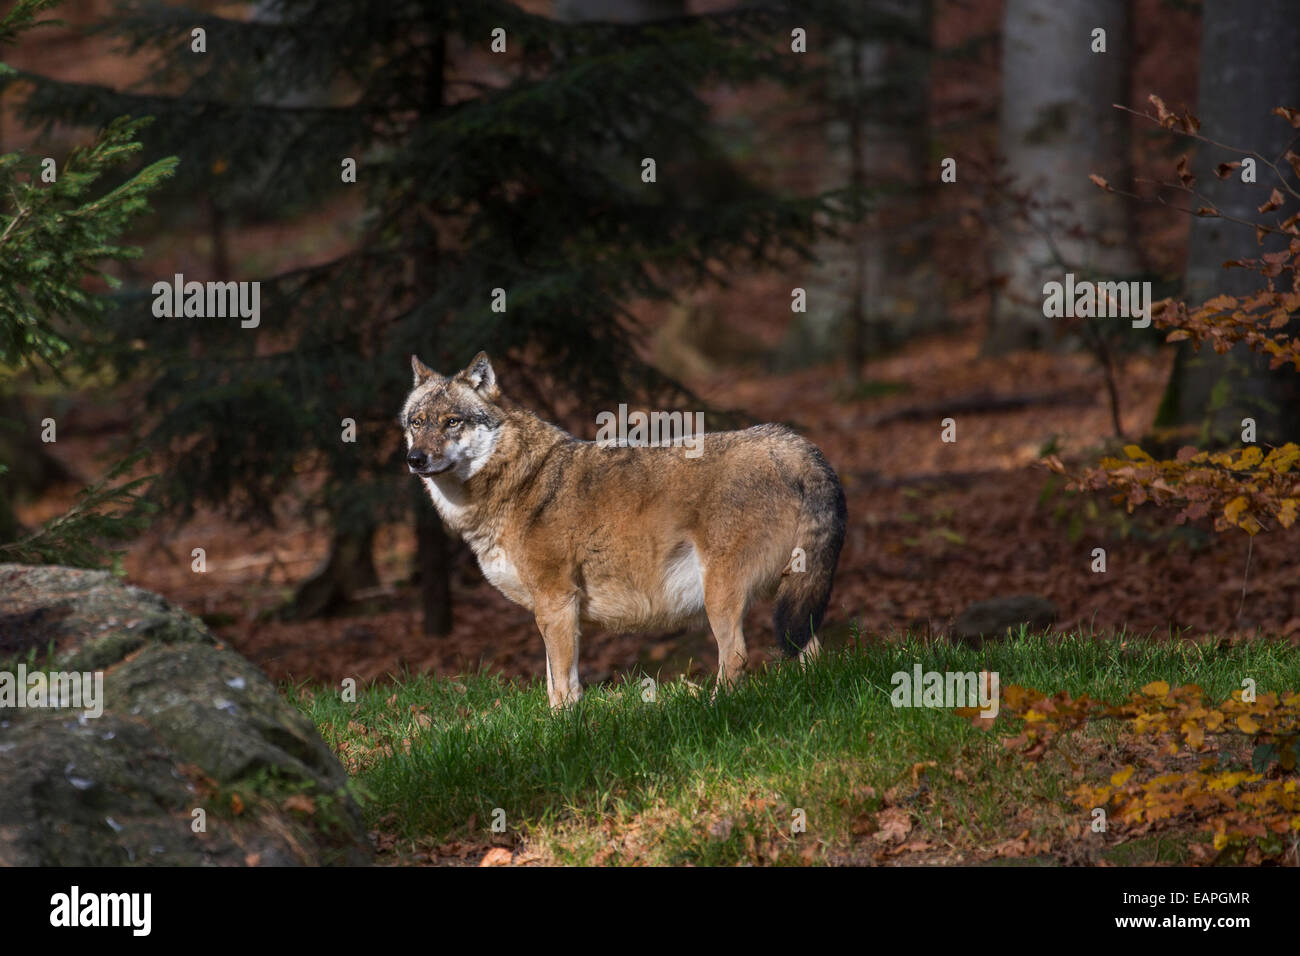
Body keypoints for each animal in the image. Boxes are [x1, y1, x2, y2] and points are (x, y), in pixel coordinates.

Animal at [400, 353, 847, 712]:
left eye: (452, 422)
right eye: (417, 423)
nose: (414, 459)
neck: (516, 483)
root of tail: (792, 445)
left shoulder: (557, 603)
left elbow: (563, 686)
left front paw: (564, 731)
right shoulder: (548, 610)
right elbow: (551, 683)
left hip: (720, 596)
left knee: (736, 657)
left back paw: (712, 709)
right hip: (786, 598)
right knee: (809, 651)